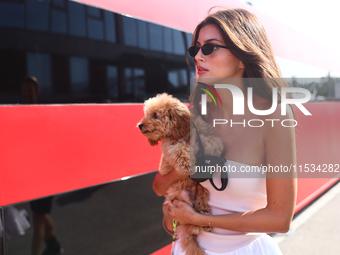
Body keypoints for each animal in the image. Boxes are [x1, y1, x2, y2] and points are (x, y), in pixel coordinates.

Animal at [137, 93, 211, 255]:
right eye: (147, 114)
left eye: (155, 115)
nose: (139, 125)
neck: (177, 134)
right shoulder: (170, 148)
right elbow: (180, 149)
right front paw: (187, 163)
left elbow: (204, 134)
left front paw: (213, 145)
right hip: (180, 198)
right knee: (188, 222)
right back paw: (198, 226)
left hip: (201, 189)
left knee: (200, 206)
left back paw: (204, 217)